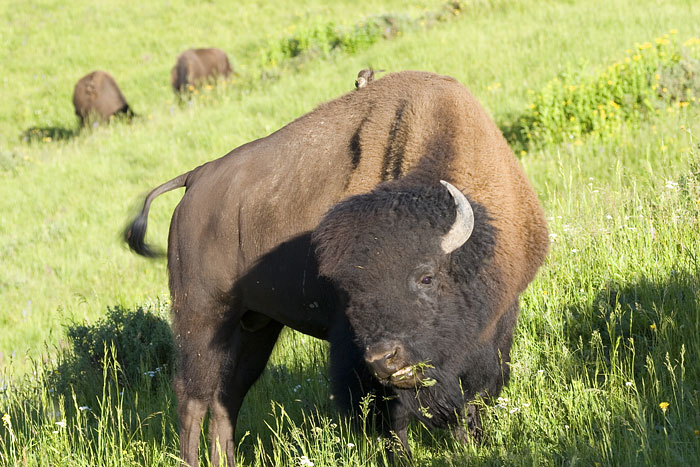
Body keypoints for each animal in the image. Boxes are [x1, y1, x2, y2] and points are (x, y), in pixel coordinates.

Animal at [127, 70, 552, 467]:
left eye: (426, 277)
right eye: (350, 292)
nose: (384, 359)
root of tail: (195, 178)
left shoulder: (496, 330)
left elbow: (470, 401)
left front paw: (473, 446)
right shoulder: (354, 352)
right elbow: (389, 418)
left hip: (255, 326)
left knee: (225, 398)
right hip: (201, 317)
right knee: (192, 397)